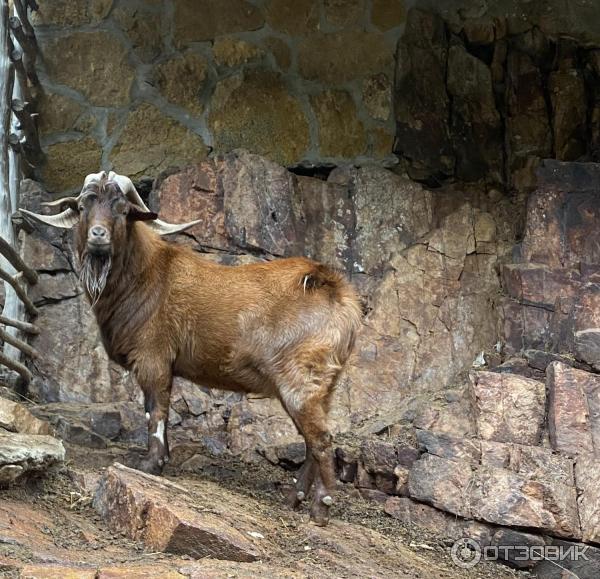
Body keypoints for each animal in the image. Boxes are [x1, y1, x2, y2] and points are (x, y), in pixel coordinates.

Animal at [22, 169, 360, 524]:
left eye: (123, 209)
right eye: (84, 205)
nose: (98, 235)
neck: (145, 274)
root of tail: (337, 291)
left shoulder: (153, 357)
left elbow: (155, 409)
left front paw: (150, 464)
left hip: (301, 379)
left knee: (321, 440)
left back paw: (320, 507)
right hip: (321, 386)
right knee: (311, 440)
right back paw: (294, 498)